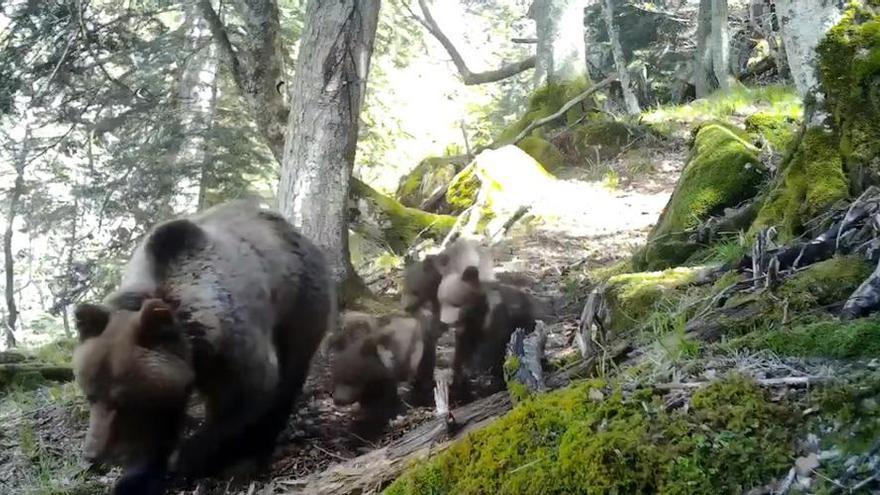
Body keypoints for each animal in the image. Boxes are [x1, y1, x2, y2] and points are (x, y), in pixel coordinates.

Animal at [72, 201, 332, 492]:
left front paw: (188, 459)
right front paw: (136, 477)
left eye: (121, 400)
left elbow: (245, 398)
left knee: (291, 374)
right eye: (90, 395)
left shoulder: (234, 350)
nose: (92, 454)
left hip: (301, 304)